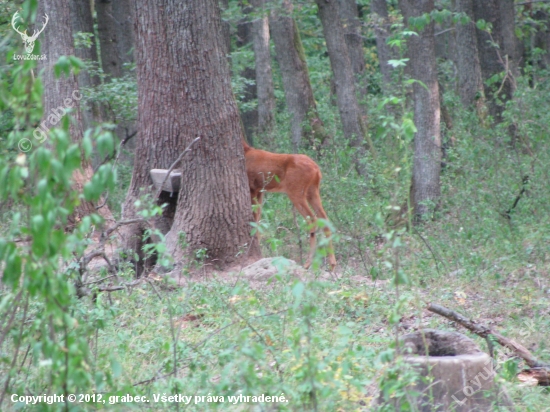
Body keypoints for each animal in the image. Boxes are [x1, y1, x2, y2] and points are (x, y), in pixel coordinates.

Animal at [244, 140, 338, 272]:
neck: (245, 151)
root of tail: (317, 170)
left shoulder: (251, 187)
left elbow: (254, 218)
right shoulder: (260, 190)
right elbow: (258, 219)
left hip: (296, 191)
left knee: (312, 219)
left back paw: (307, 263)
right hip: (312, 190)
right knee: (325, 219)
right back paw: (332, 264)